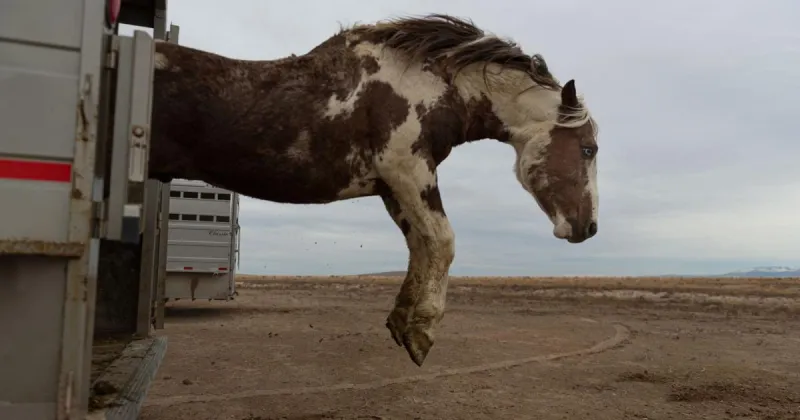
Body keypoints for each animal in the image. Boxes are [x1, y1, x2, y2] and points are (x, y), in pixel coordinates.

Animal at [149, 13, 600, 367]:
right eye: (588, 148)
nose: (590, 227)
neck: (422, 84)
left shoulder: (392, 187)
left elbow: (419, 245)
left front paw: (403, 321)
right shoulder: (408, 170)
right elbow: (443, 241)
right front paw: (423, 331)